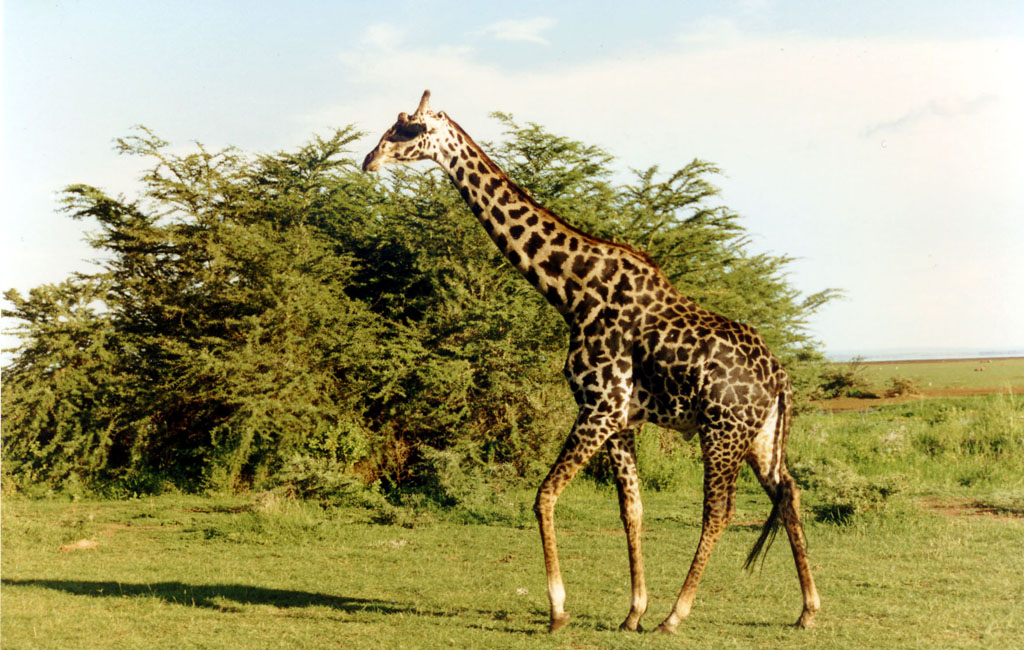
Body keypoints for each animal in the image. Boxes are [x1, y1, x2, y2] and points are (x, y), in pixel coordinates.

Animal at [364, 91, 819, 634]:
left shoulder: (599, 406)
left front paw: (559, 611)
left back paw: (676, 615)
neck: (571, 291)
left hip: (721, 432)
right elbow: (632, 510)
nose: (369, 160)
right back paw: (808, 609)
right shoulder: (621, 419)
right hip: (761, 437)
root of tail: (780, 379)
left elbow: (544, 495)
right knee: (787, 492)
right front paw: (632, 612)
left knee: (720, 511)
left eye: (407, 129)